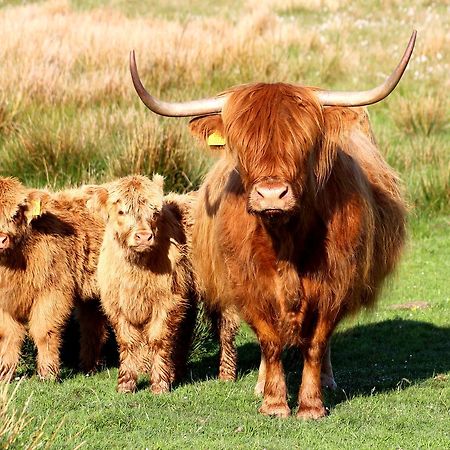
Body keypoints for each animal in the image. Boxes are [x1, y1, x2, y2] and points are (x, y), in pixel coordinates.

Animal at [89, 174, 197, 392]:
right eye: (121, 211)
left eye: (155, 212)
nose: (144, 237)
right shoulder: (117, 306)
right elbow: (127, 342)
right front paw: (125, 384)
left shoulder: (167, 302)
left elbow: (158, 339)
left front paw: (160, 385)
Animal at [129, 31, 414, 418]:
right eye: (240, 145)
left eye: (306, 143)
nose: (271, 195)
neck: (285, 243)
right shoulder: (248, 284)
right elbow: (270, 340)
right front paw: (275, 403)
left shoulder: (335, 283)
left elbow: (317, 342)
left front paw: (311, 406)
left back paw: (327, 380)